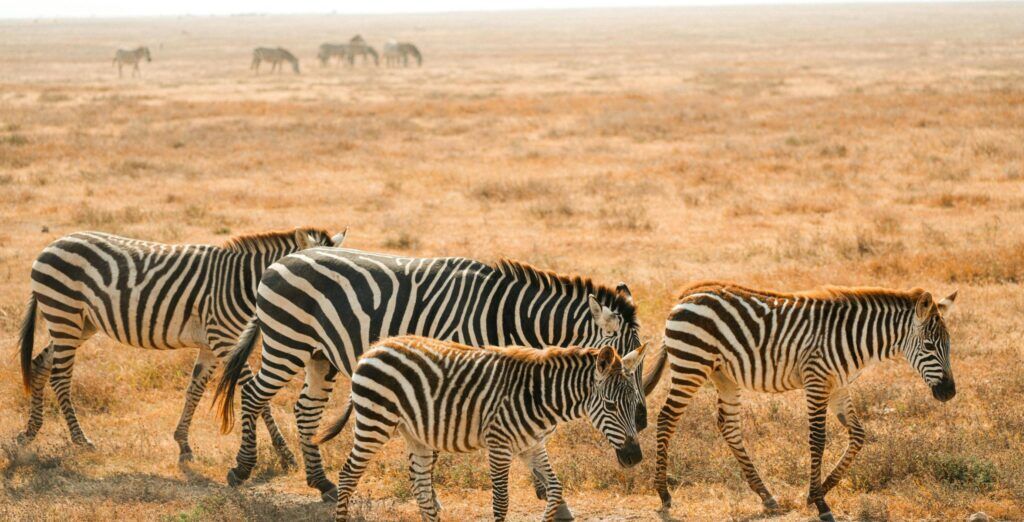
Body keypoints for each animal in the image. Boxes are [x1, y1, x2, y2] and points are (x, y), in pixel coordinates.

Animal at [16, 227, 346, 464]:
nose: (333, 318)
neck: (244, 283)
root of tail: (53, 244)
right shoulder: (225, 341)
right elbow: (256, 395)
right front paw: (284, 452)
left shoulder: (212, 345)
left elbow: (194, 390)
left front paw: (183, 444)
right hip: (65, 315)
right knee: (60, 378)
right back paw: (80, 440)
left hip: (79, 323)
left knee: (39, 364)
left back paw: (30, 432)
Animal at [319, 336, 648, 522]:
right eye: (610, 406)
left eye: (634, 403)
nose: (635, 458)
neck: (539, 396)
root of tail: (374, 348)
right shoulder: (499, 444)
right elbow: (501, 502)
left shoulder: (532, 445)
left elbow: (555, 490)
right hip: (375, 422)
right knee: (348, 475)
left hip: (415, 434)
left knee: (420, 486)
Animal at [644, 282, 958, 521]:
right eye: (929, 346)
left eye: (949, 344)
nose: (950, 393)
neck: (853, 337)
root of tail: (688, 294)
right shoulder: (816, 379)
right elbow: (818, 439)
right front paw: (820, 502)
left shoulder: (838, 386)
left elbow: (858, 435)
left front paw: (819, 490)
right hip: (691, 365)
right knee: (666, 418)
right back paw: (663, 493)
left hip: (723, 374)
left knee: (728, 426)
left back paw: (766, 496)